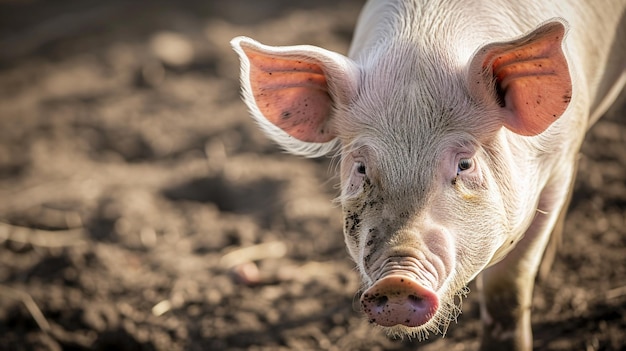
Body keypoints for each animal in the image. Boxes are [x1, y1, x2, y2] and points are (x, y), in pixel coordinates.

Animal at [230, 0, 624, 350]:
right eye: (361, 167)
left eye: (465, 165)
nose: (397, 280)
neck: (424, 38)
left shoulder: (556, 165)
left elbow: (508, 286)